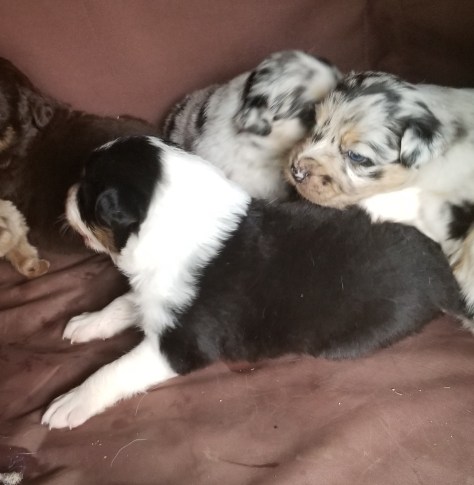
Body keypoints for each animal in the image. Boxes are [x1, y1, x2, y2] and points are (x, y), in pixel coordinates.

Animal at [41, 135, 468, 429]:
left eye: (88, 195)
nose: (65, 194)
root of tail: (442, 264)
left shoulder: (182, 345)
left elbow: (113, 370)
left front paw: (71, 401)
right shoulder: (155, 294)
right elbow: (123, 302)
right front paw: (87, 322)